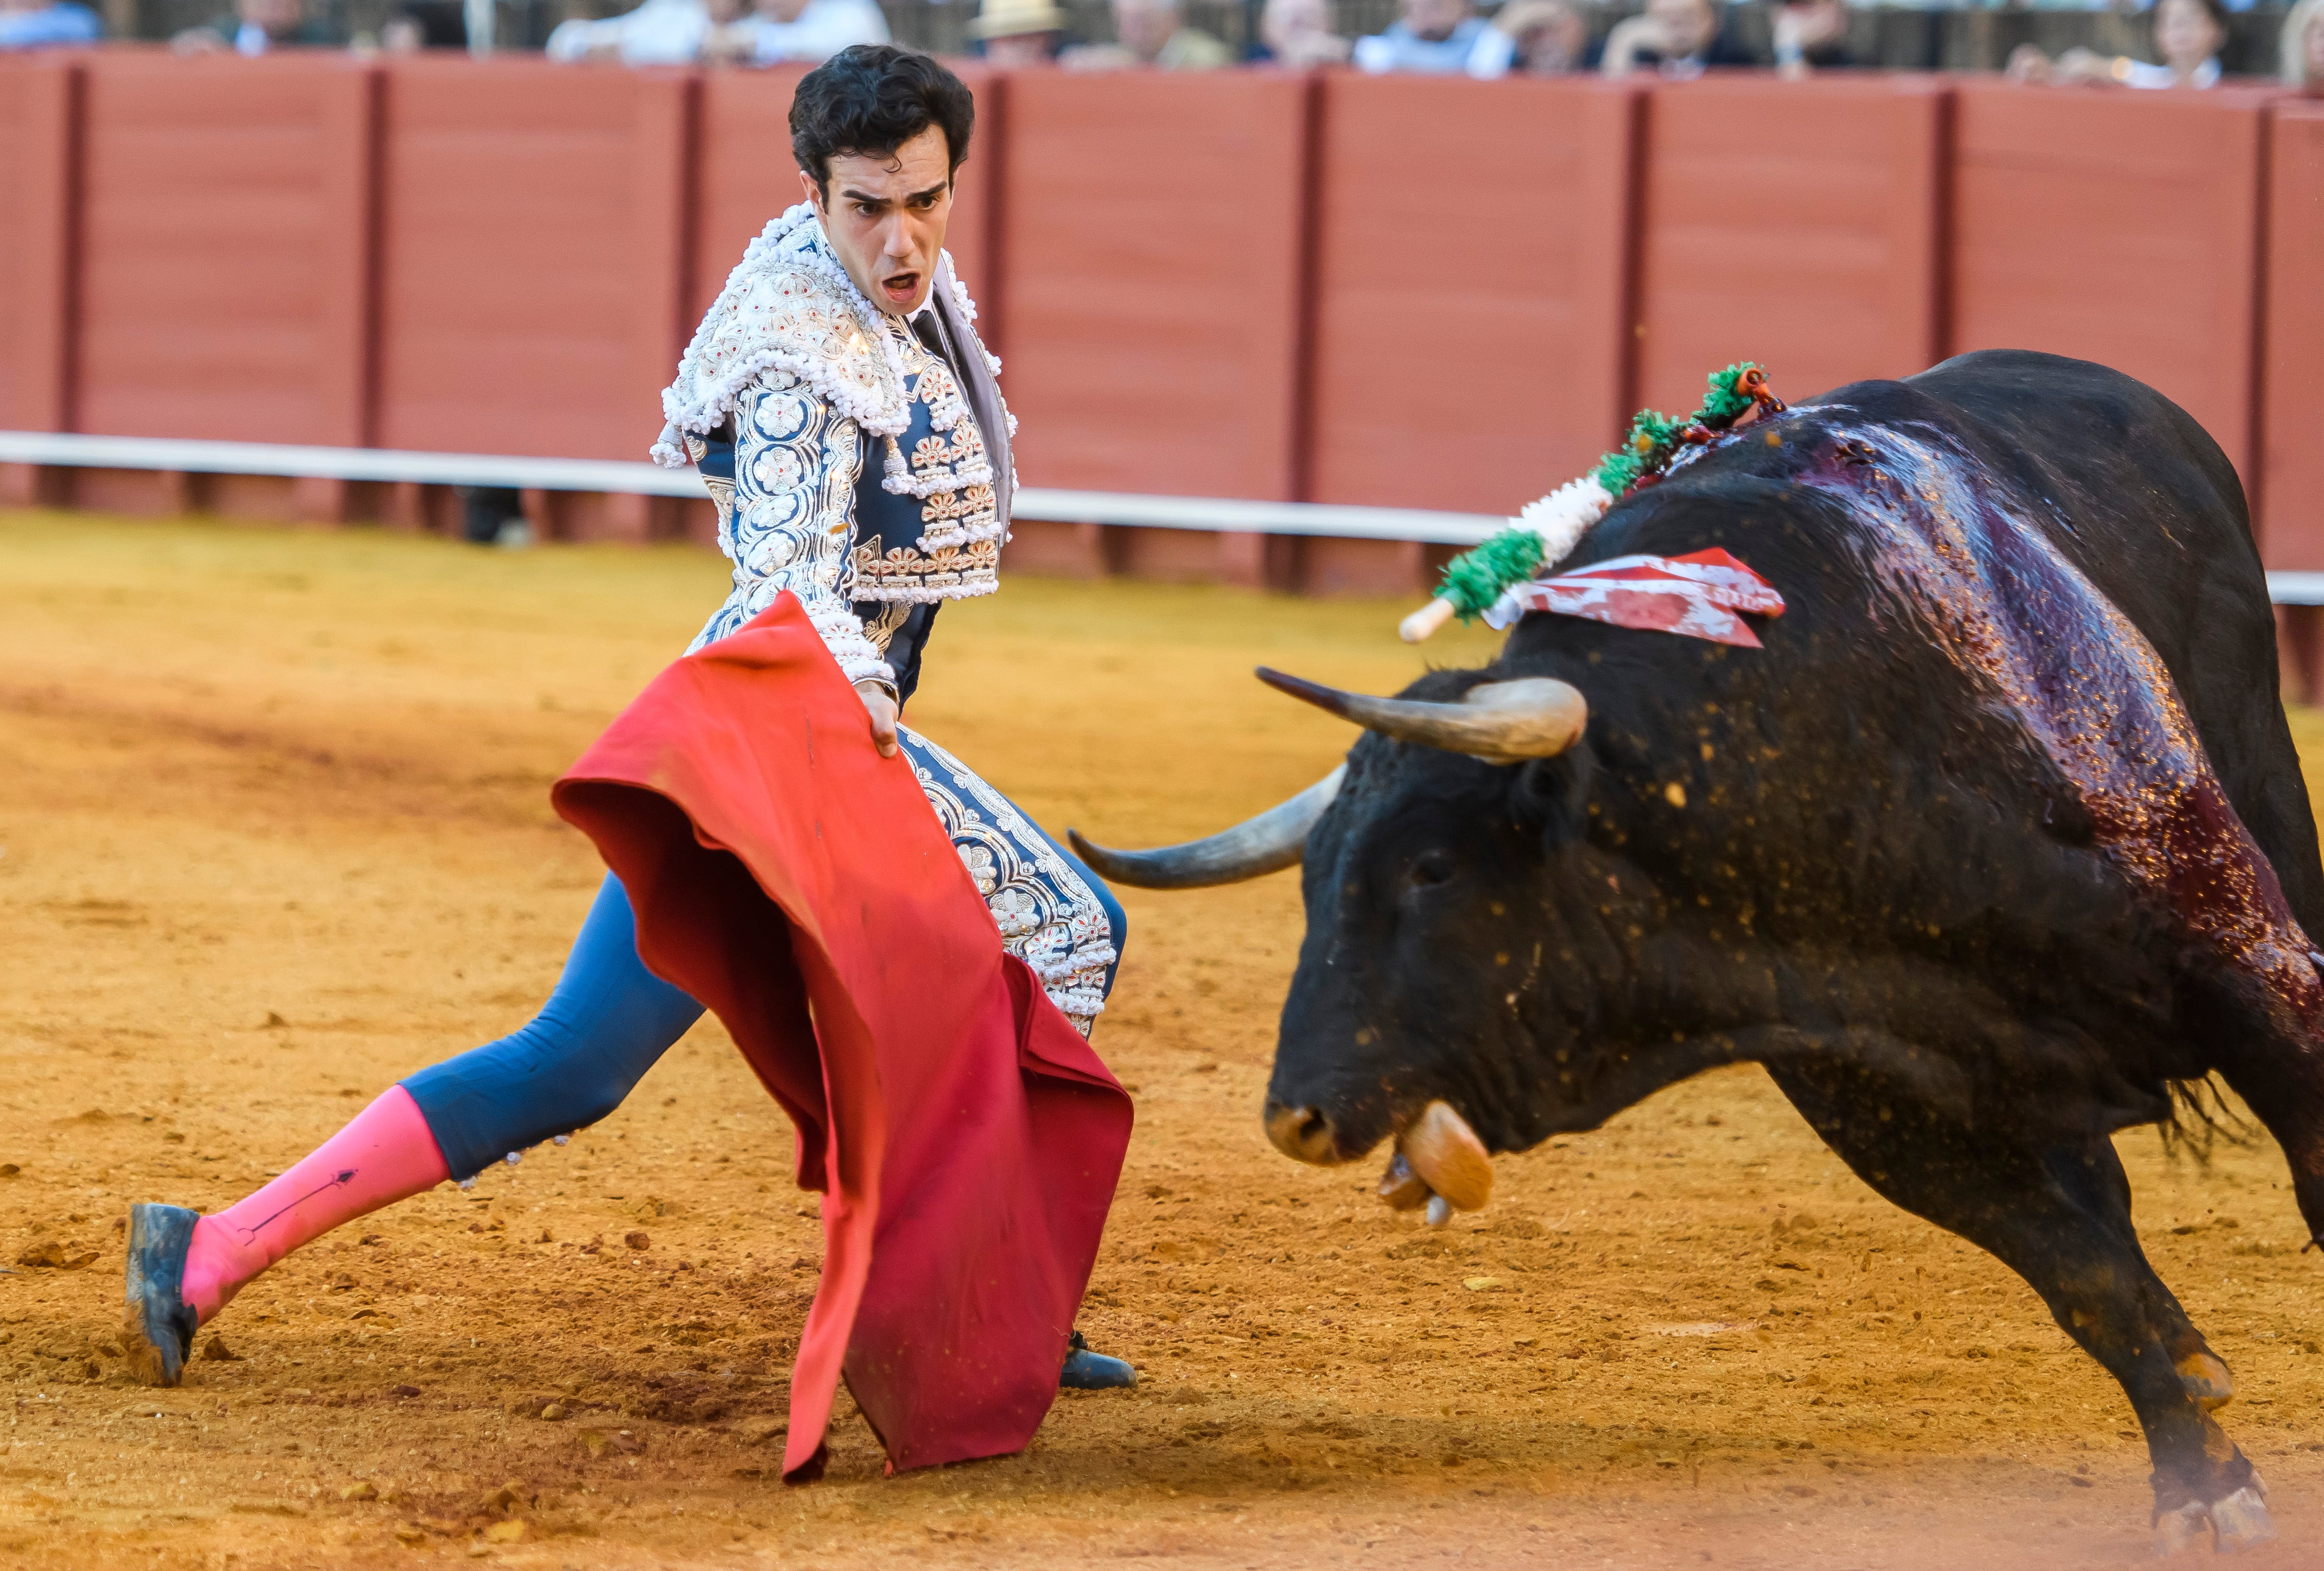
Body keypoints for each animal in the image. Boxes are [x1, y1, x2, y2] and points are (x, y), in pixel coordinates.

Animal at [1078, 353, 2324, 1543]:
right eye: (1314, 877)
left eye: (1431, 868)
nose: (1297, 1114)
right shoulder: (1894, 1109)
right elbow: (2087, 1279)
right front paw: (2201, 1482)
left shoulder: (2258, 982)